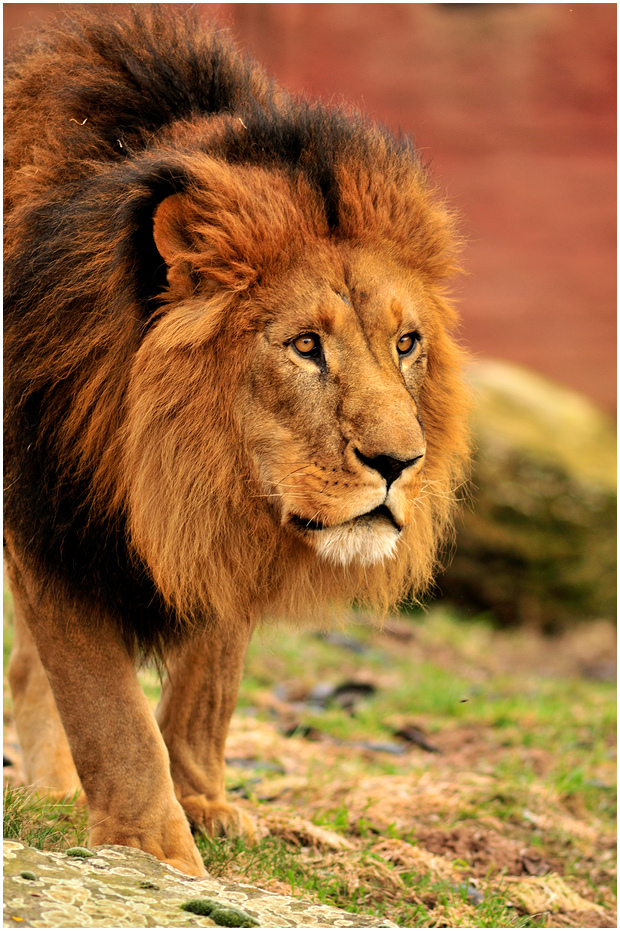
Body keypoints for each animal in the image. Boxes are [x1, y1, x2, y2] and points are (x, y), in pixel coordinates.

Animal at [4, 5, 470, 877]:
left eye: (406, 344)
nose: (400, 464)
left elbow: (209, 681)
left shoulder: (231, 509)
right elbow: (107, 704)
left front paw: (204, 803)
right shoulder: (50, 512)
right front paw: (155, 850)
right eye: (305, 346)